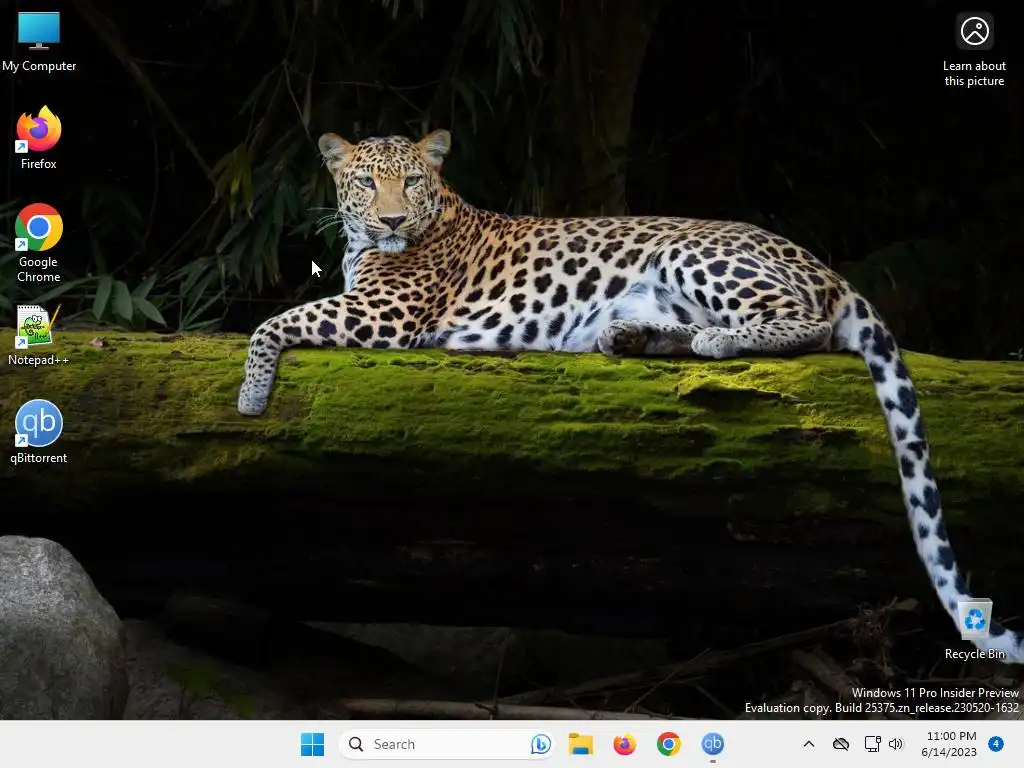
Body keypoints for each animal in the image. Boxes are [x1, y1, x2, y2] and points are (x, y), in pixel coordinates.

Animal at [238, 128, 1022, 663]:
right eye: (366, 185)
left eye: (410, 185)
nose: (393, 222)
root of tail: (823, 265)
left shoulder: (384, 314)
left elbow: (273, 320)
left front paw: (249, 392)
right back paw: (631, 336)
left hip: (694, 254)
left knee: (806, 325)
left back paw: (712, 343)